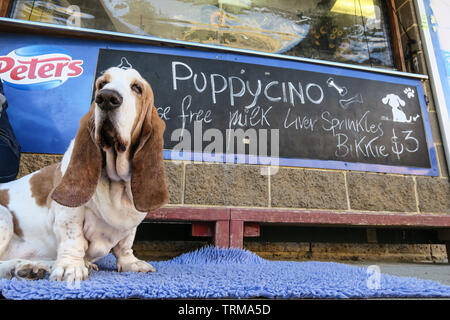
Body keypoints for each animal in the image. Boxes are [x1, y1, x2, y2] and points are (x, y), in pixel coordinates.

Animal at [0, 67, 168, 282]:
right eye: (102, 84)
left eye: (137, 88)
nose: (106, 98)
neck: (116, 183)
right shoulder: (70, 214)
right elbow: (74, 239)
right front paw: (70, 268)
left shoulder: (130, 226)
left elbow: (125, 244)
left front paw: (131, 263)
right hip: (4, 216)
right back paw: (26, 267)